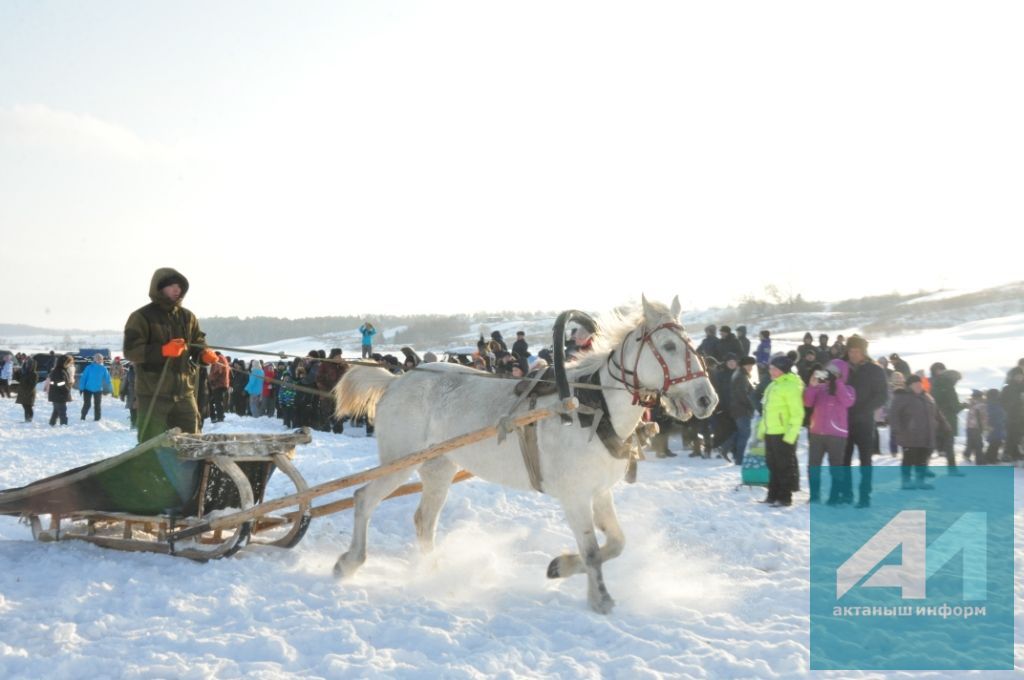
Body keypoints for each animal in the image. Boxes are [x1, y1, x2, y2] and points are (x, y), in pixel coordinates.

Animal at [331, 294, 716, 614]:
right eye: (668, 346)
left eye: (690, 344)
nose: (707, 399)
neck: (593, 406)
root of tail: (397, 380)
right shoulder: (575, 496)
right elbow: (593, 551)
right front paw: (599, 598)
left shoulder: (600, 492)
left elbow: (617, 544)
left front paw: (561, 566)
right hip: (398, 461)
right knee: (363, 498)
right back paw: (349, 562)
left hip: (439, 468)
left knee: (424, 521)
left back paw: (432, 571)